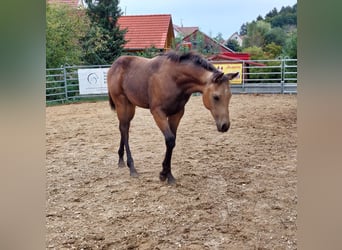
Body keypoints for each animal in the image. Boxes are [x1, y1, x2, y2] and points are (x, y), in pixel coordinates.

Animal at [107, 51, 238, 184]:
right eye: (216, 97)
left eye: (230, 96)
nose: (225, 125)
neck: (174, 79)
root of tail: (115, 65)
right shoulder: (158, 113)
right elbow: (169, 140)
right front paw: (164, 174)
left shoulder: (177, 114)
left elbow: (172, 141)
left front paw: (168, 175)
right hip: (122, 103)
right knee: (124, 129)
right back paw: (131, 167)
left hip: (130, 105)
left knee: (124, 128)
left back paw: (121, 160)